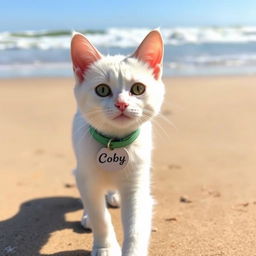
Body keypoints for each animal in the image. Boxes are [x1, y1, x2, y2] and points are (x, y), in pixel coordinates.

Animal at [71, 30, 165, 256]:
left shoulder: (137, 183)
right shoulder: (87, 177)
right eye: (102, 90)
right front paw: (105, 246)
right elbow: (99, 215)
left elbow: (136, 225)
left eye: (138, 88)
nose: (121, 104)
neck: (114, 143)